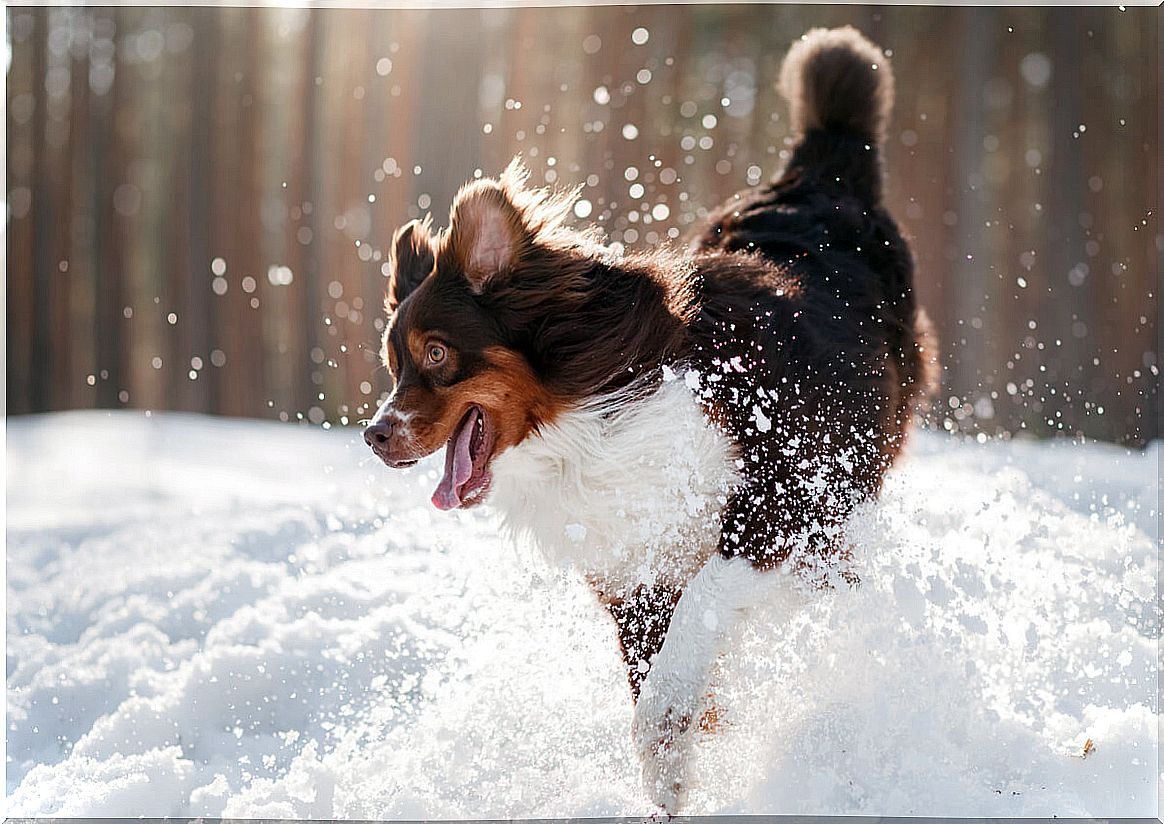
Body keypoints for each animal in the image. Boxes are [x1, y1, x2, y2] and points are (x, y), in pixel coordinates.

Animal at [367, 28, 931, 814]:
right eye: (393, 363)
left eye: (436, 353)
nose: (375, 434)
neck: (591, 421)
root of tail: (821, 173)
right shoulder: (635, 575)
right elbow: (659, 668)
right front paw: (681, 758)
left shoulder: (783, 502)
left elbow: (691, 637)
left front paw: (672, 737)